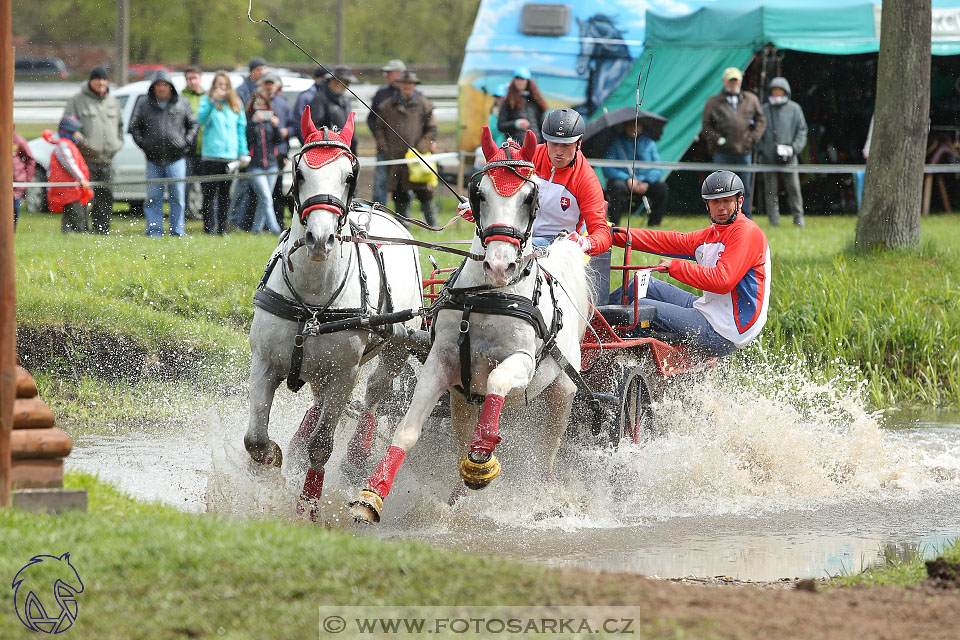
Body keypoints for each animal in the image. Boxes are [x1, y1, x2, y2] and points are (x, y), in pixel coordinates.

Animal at [248, 109, 424, 520]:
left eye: (348, 174)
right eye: (299, 173)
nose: (319, 238)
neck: (312, 300)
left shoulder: (344, 376)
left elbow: (322, 447)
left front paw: (308, 509)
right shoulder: (264, 363)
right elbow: (256, 440)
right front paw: (272, 461)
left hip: (395, 349)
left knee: (375, 392)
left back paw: (357, 452)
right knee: (317, 400)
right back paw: (296, 442)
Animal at [352, 127, 592, 524]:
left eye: (530, 197)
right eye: (479, 194)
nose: (499, 265)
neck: (487, 298)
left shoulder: (522, 363)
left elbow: (496, 381)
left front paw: (482, 461)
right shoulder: (441, 364)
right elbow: (407, 430)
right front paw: (372, 494)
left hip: (561, 391)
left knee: (548, 448)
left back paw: (544, 494)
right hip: (461, 400)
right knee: (463, 434)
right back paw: (456, 495)